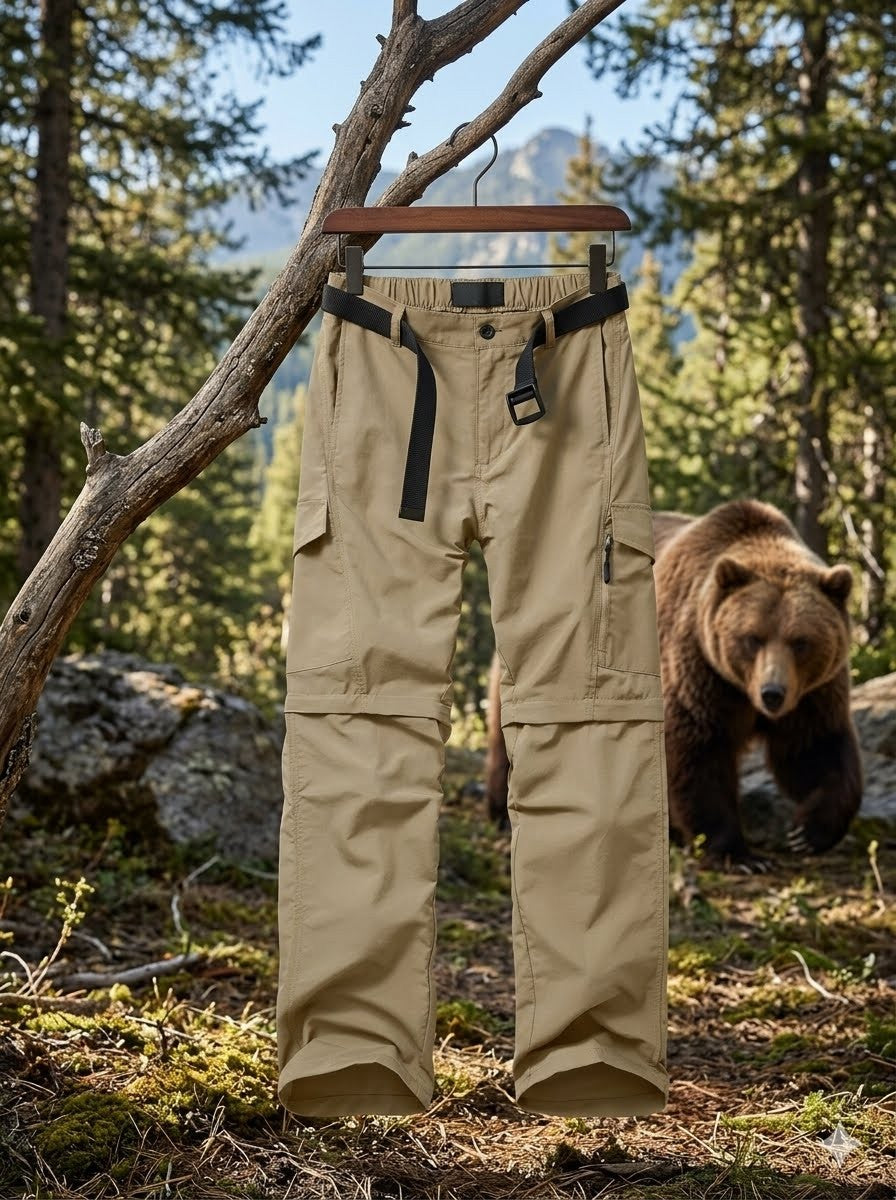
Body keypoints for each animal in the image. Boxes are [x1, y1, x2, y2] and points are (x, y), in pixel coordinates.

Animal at [485, 498, 863, 872]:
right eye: (752, 638)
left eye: (801, 642)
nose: (772, 694)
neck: (741, 689)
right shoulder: (698, 669)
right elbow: (699, 749)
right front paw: (738, 853)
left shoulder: (811, 693)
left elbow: (814, 748)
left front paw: (808, 832)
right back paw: (504, 812)